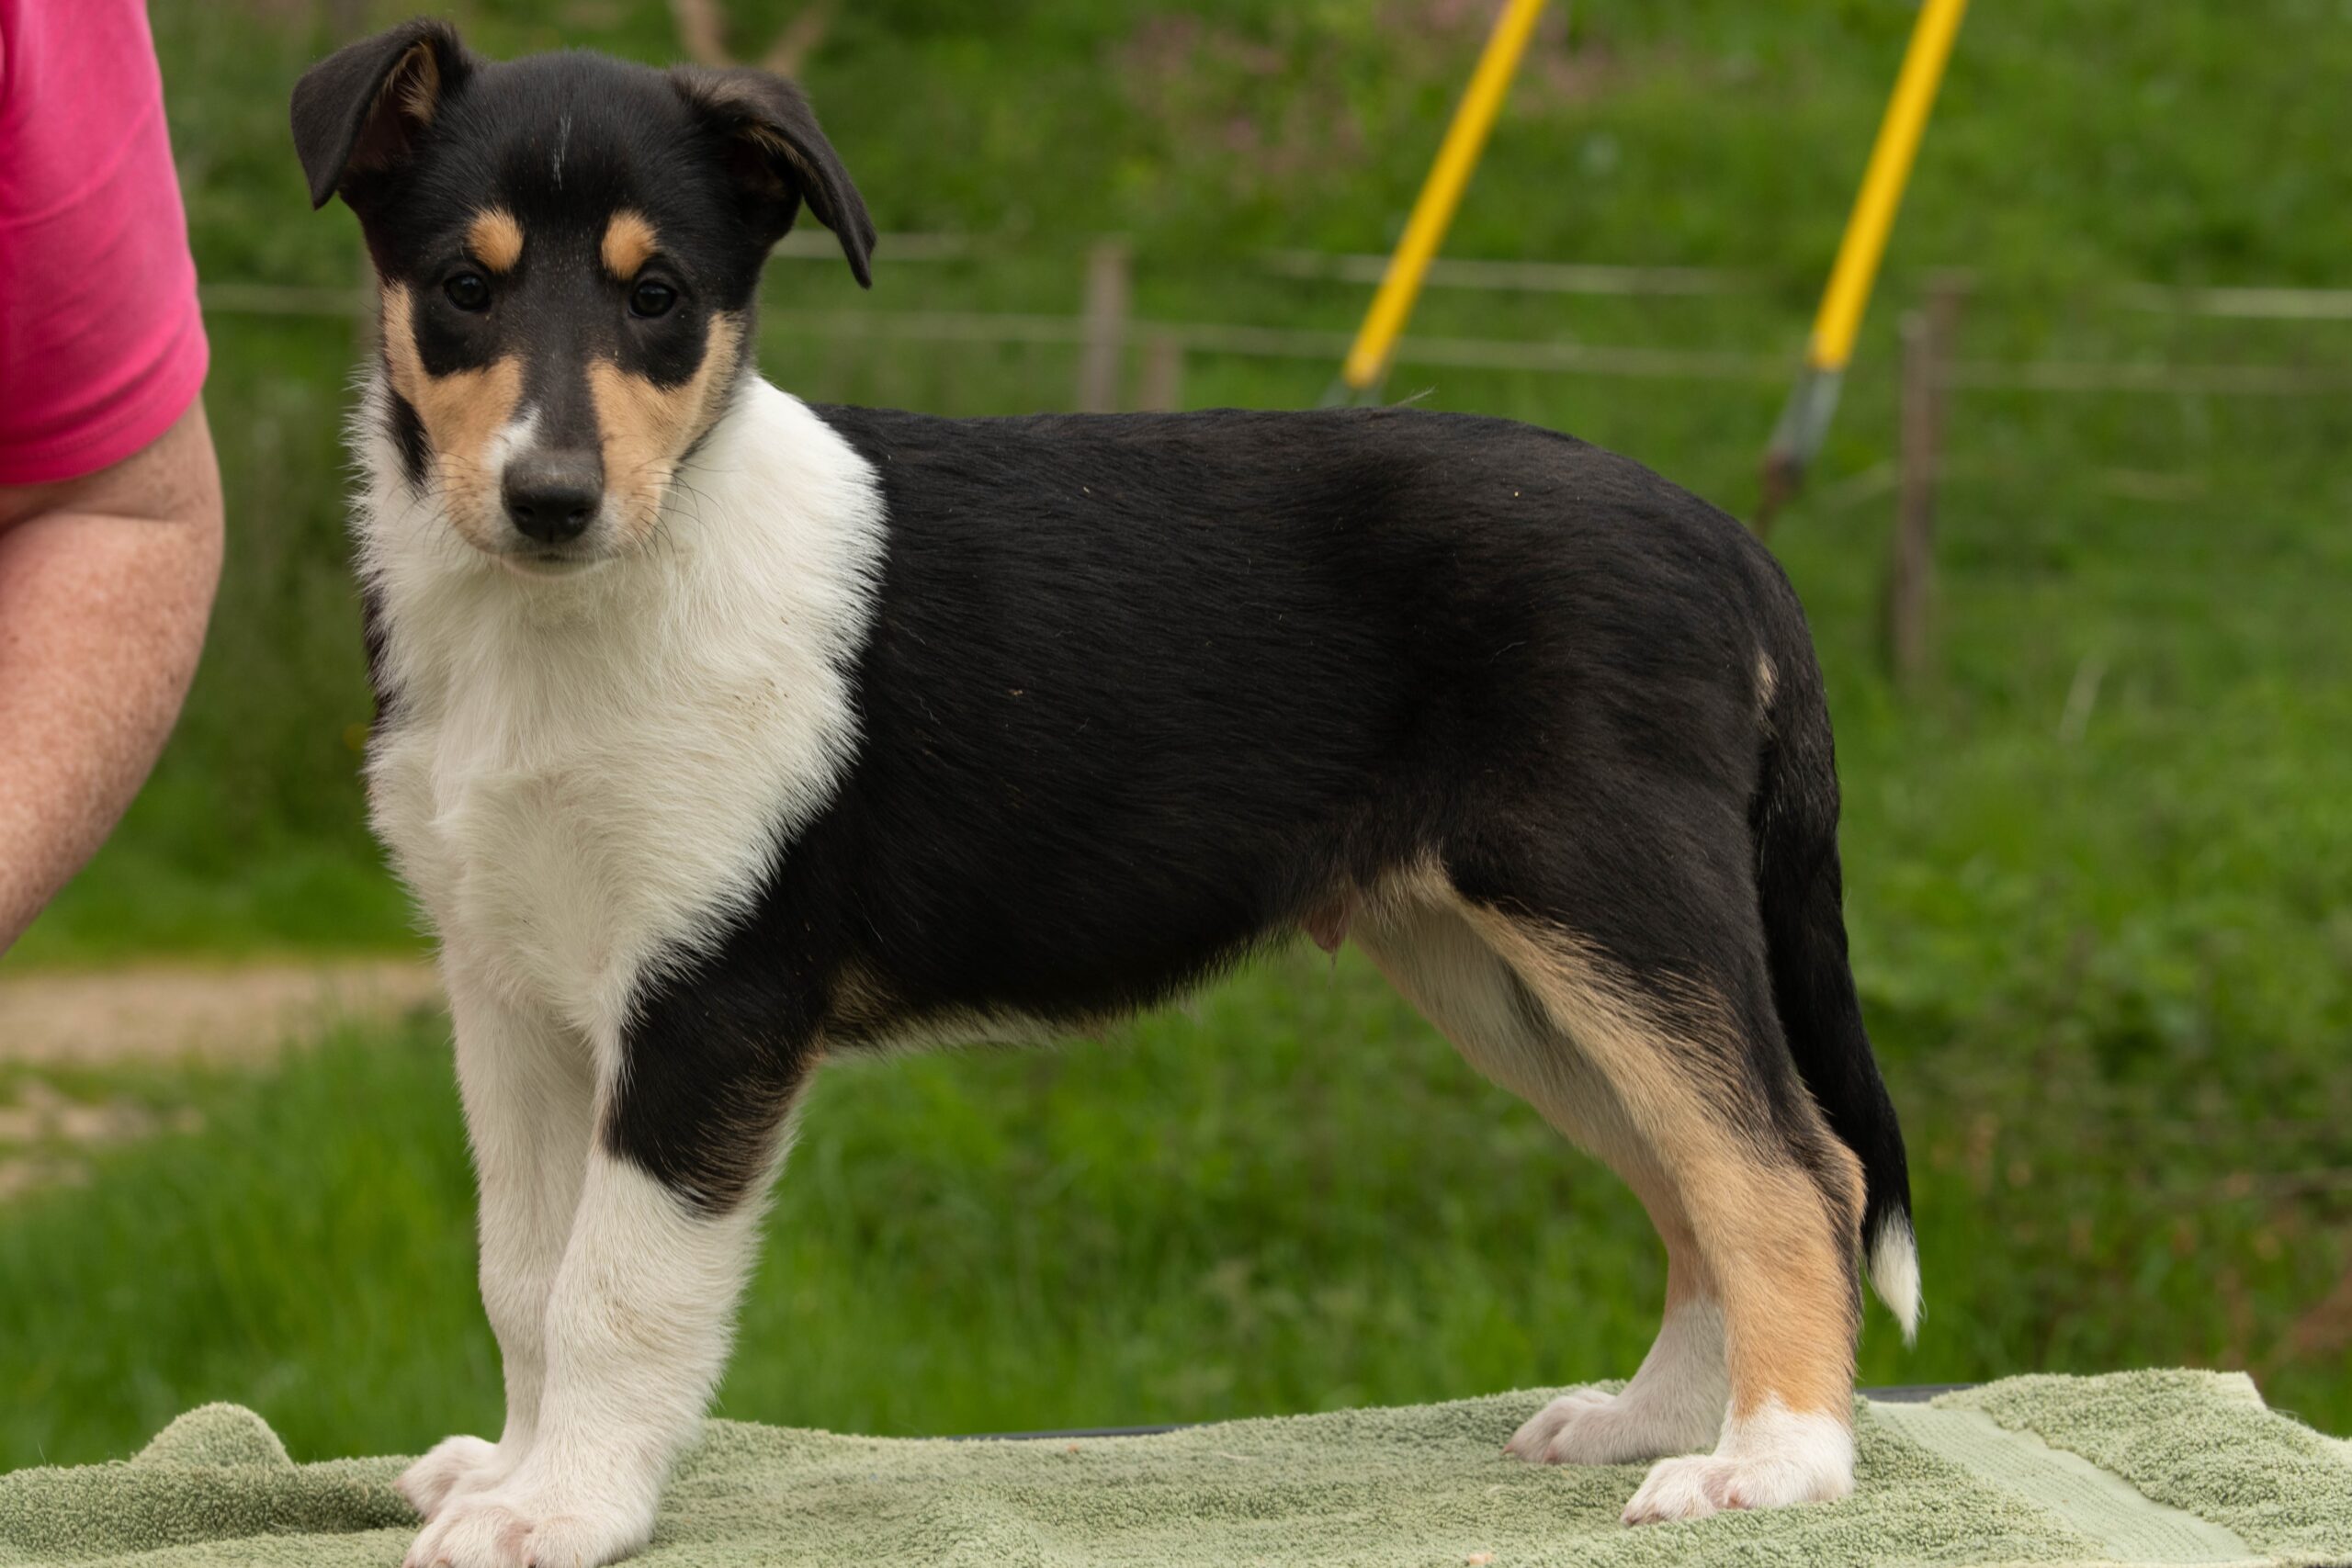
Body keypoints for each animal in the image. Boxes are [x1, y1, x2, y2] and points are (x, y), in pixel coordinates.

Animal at [294, 24, 1918, 1568]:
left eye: (659, 296)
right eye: (463, 286)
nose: (550, 500)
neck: (577, 613)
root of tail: (1728, 543)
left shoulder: (710, 996)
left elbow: (614, 1284)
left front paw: (563, 1510)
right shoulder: (509, 989)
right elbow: (524, 1270)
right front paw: (506, 1469)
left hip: (1617, 906)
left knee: (1788, 1167)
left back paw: (1772, 1464)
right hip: (1509, 966)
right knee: (1693, 1174)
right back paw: (1652, 1419)